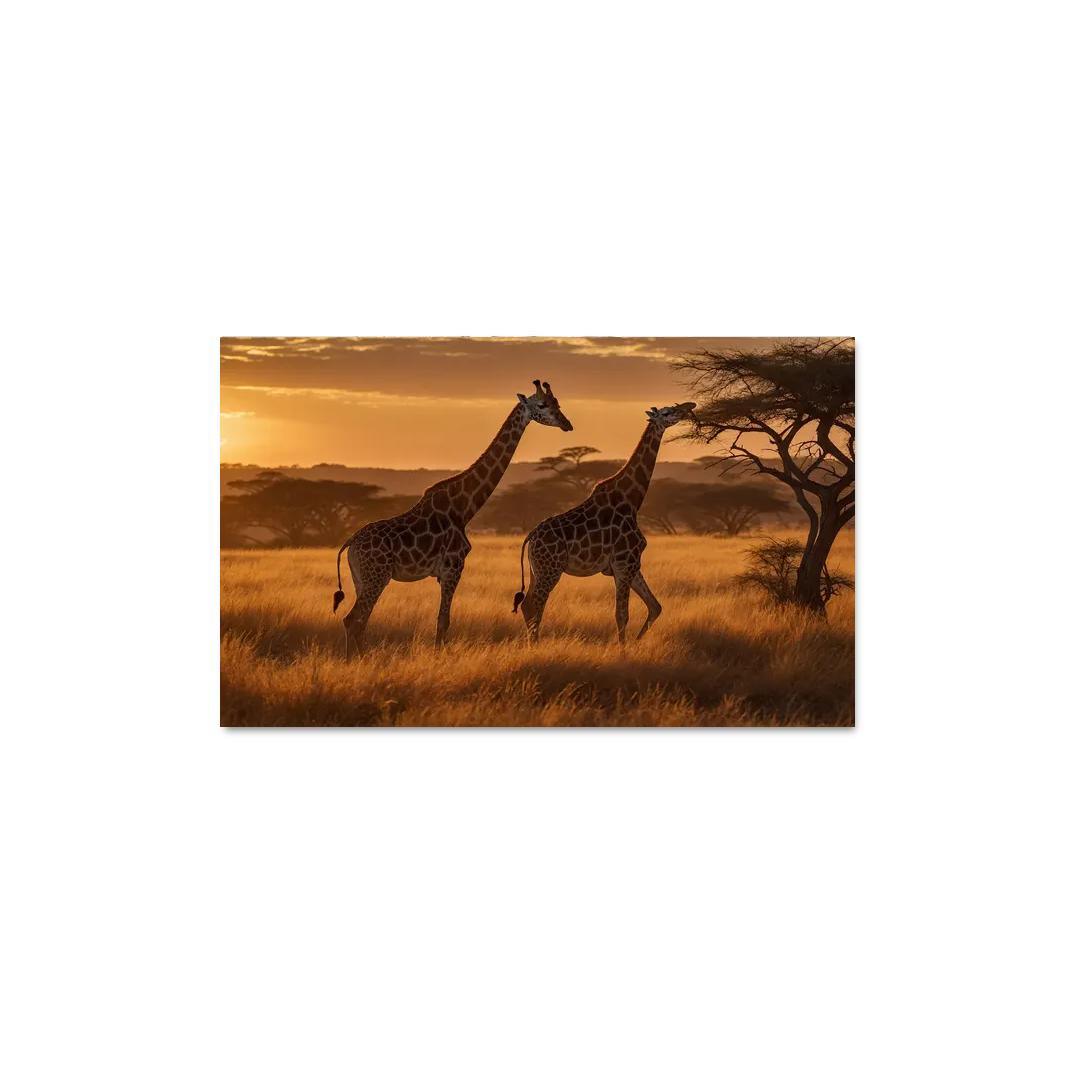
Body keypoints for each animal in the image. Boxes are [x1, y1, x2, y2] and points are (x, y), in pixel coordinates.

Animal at [333, 381, 573, 655]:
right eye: (542, 405)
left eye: (557, 403)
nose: (567, 424)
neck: (464, 508)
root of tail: (350, 543)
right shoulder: (453, 567)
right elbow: (443, 621)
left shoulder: (445, 572)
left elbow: (442, 620)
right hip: (376, 577)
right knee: (353, 619)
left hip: (361, 579)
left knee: (359, 621)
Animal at [512, 401, 697, 645]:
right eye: (667, 412)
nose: (689, 406)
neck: (632, 500)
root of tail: (531, 536)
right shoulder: (624, 562)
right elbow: (622, 615)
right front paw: (623, 649)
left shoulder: (631, 564)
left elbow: (655, 606)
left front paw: (636, 644)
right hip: (550, 569)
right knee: (535, 605)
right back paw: (535, 645)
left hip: (537, 569)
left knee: (527, 605)